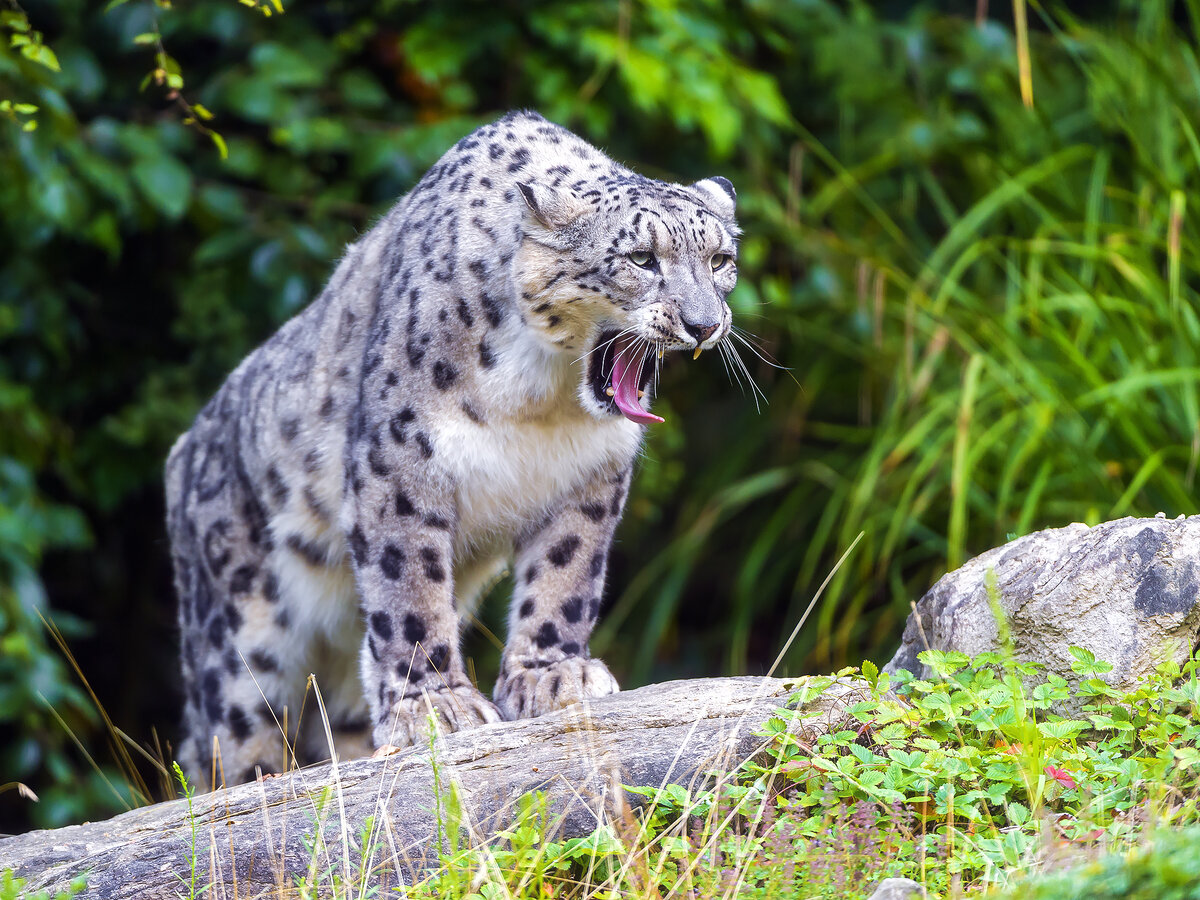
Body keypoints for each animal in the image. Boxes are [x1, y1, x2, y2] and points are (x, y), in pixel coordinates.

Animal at [163, 111, 734, 787]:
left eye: (721, 258)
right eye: (642, 258)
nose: (704, 324)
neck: (543, 397)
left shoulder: (591, 473)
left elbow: (567, 573)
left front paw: (554, 676)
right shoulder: (400, 458)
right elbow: (408, 587)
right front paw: (437, 707)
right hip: (238, 641)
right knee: (232, 739)